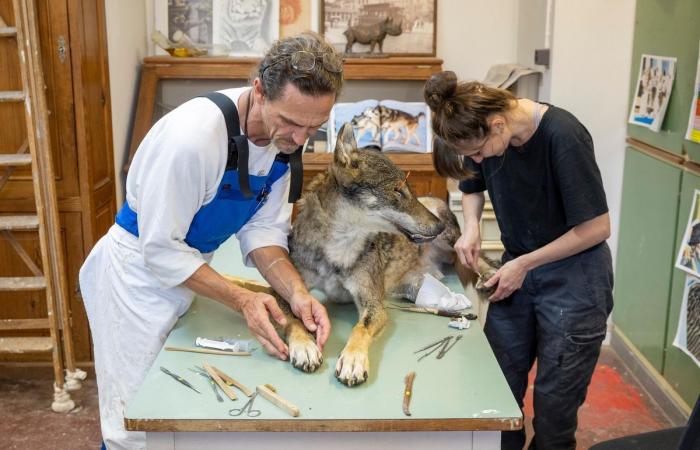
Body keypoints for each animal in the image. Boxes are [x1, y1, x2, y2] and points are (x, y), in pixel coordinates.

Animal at [274, 124, 498, 386]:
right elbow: (294, 319)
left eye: (409, 189)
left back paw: (489, 275)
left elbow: (360, 329)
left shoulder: (374, 304)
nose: (439, 226)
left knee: (476, 257)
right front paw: (305, 347)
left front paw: (352, 360)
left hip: (453, 241)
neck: (339, 246)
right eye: (397, 191)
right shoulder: (284, 290)